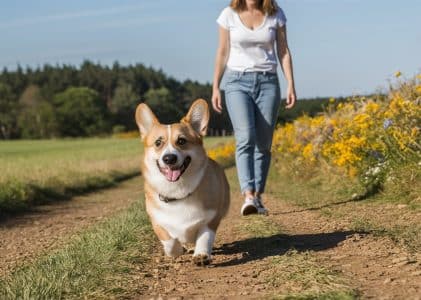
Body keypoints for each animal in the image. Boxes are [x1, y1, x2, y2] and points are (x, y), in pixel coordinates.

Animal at [135, 98, 230, 264]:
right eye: (158, 143)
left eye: (181, 141)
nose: (169, 158)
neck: (178, 191)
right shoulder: (157, 222)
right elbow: (170, 242)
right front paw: (178, 250)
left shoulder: (211, 219)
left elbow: (205, 237)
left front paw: (201, 255)